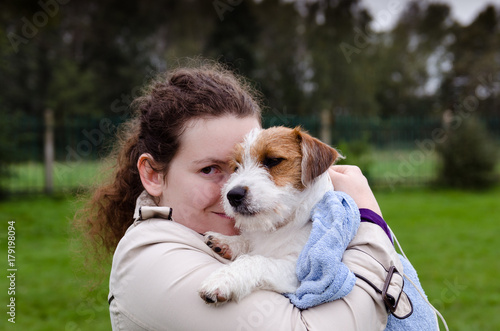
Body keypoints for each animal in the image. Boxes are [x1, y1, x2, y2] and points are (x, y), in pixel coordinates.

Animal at [197, 127, 342, 306]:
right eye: (236, 167)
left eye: (273, 160)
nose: (233, 195)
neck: (281, 226)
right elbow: (247, 241)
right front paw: (225, 241)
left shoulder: (301, 273)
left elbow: (256, 260)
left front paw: (222, 280)